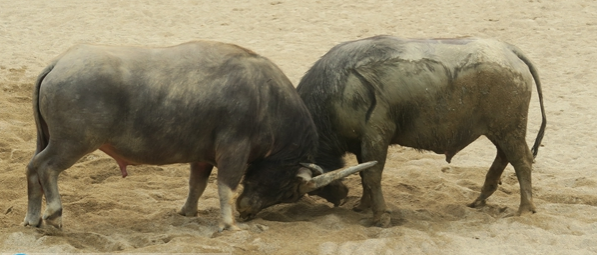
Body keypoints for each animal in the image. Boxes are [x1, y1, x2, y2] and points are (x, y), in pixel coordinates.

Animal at [25, 40, 378, 231]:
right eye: (290, 192)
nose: (247, 211)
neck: (266, 98)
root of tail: (59, 63)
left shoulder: (203, 157)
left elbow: (197, 184)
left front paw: (189, 213)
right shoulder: (233, 150)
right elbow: (226, 186)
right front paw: (228, 223)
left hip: (53, 140)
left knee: (31, 168)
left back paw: (32, 218)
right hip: (73, 142)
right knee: (46, 168)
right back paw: (53, 214)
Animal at [296, 35, 548, 227]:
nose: (339, 198)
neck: (340, 88)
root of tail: (509, 50)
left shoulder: (376, 136)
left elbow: (372, 175)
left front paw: (380, 217)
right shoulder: (361, 144)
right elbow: (363, 173)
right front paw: (363, 206)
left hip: (509, 129)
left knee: (521, 161)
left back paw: (525, 209)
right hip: (501, 131)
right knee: (504, 156)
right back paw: (480, 199)